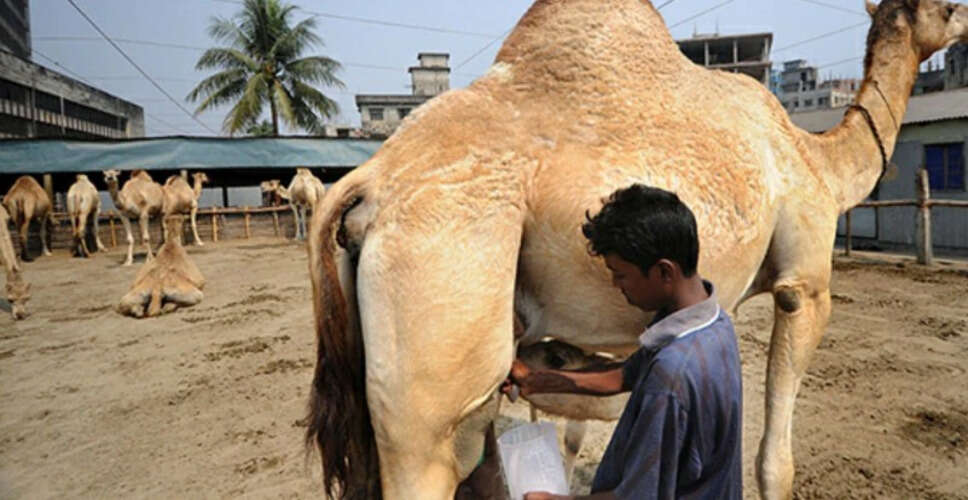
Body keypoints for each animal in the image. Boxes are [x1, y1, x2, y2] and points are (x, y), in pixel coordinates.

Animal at [304, 1, 968, 498]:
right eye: (947, 7)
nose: (965, 20)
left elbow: (586, 415)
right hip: (442, 289)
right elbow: (774, 462)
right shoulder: (803, 284)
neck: (819, 160)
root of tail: (364, 186)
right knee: (436, 452)